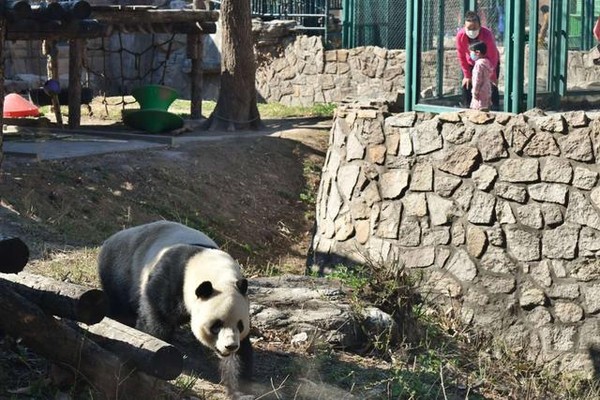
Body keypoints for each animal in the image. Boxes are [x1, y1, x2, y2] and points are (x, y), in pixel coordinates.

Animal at [97, 222, 252, 394]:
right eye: (216, 326)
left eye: (240, 325)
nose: (230, 346)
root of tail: (112, 238)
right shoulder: (172, 279)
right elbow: (157, 316)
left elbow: (242, 350)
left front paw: (240, 383)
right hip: (121, 269)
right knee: (120, 304)